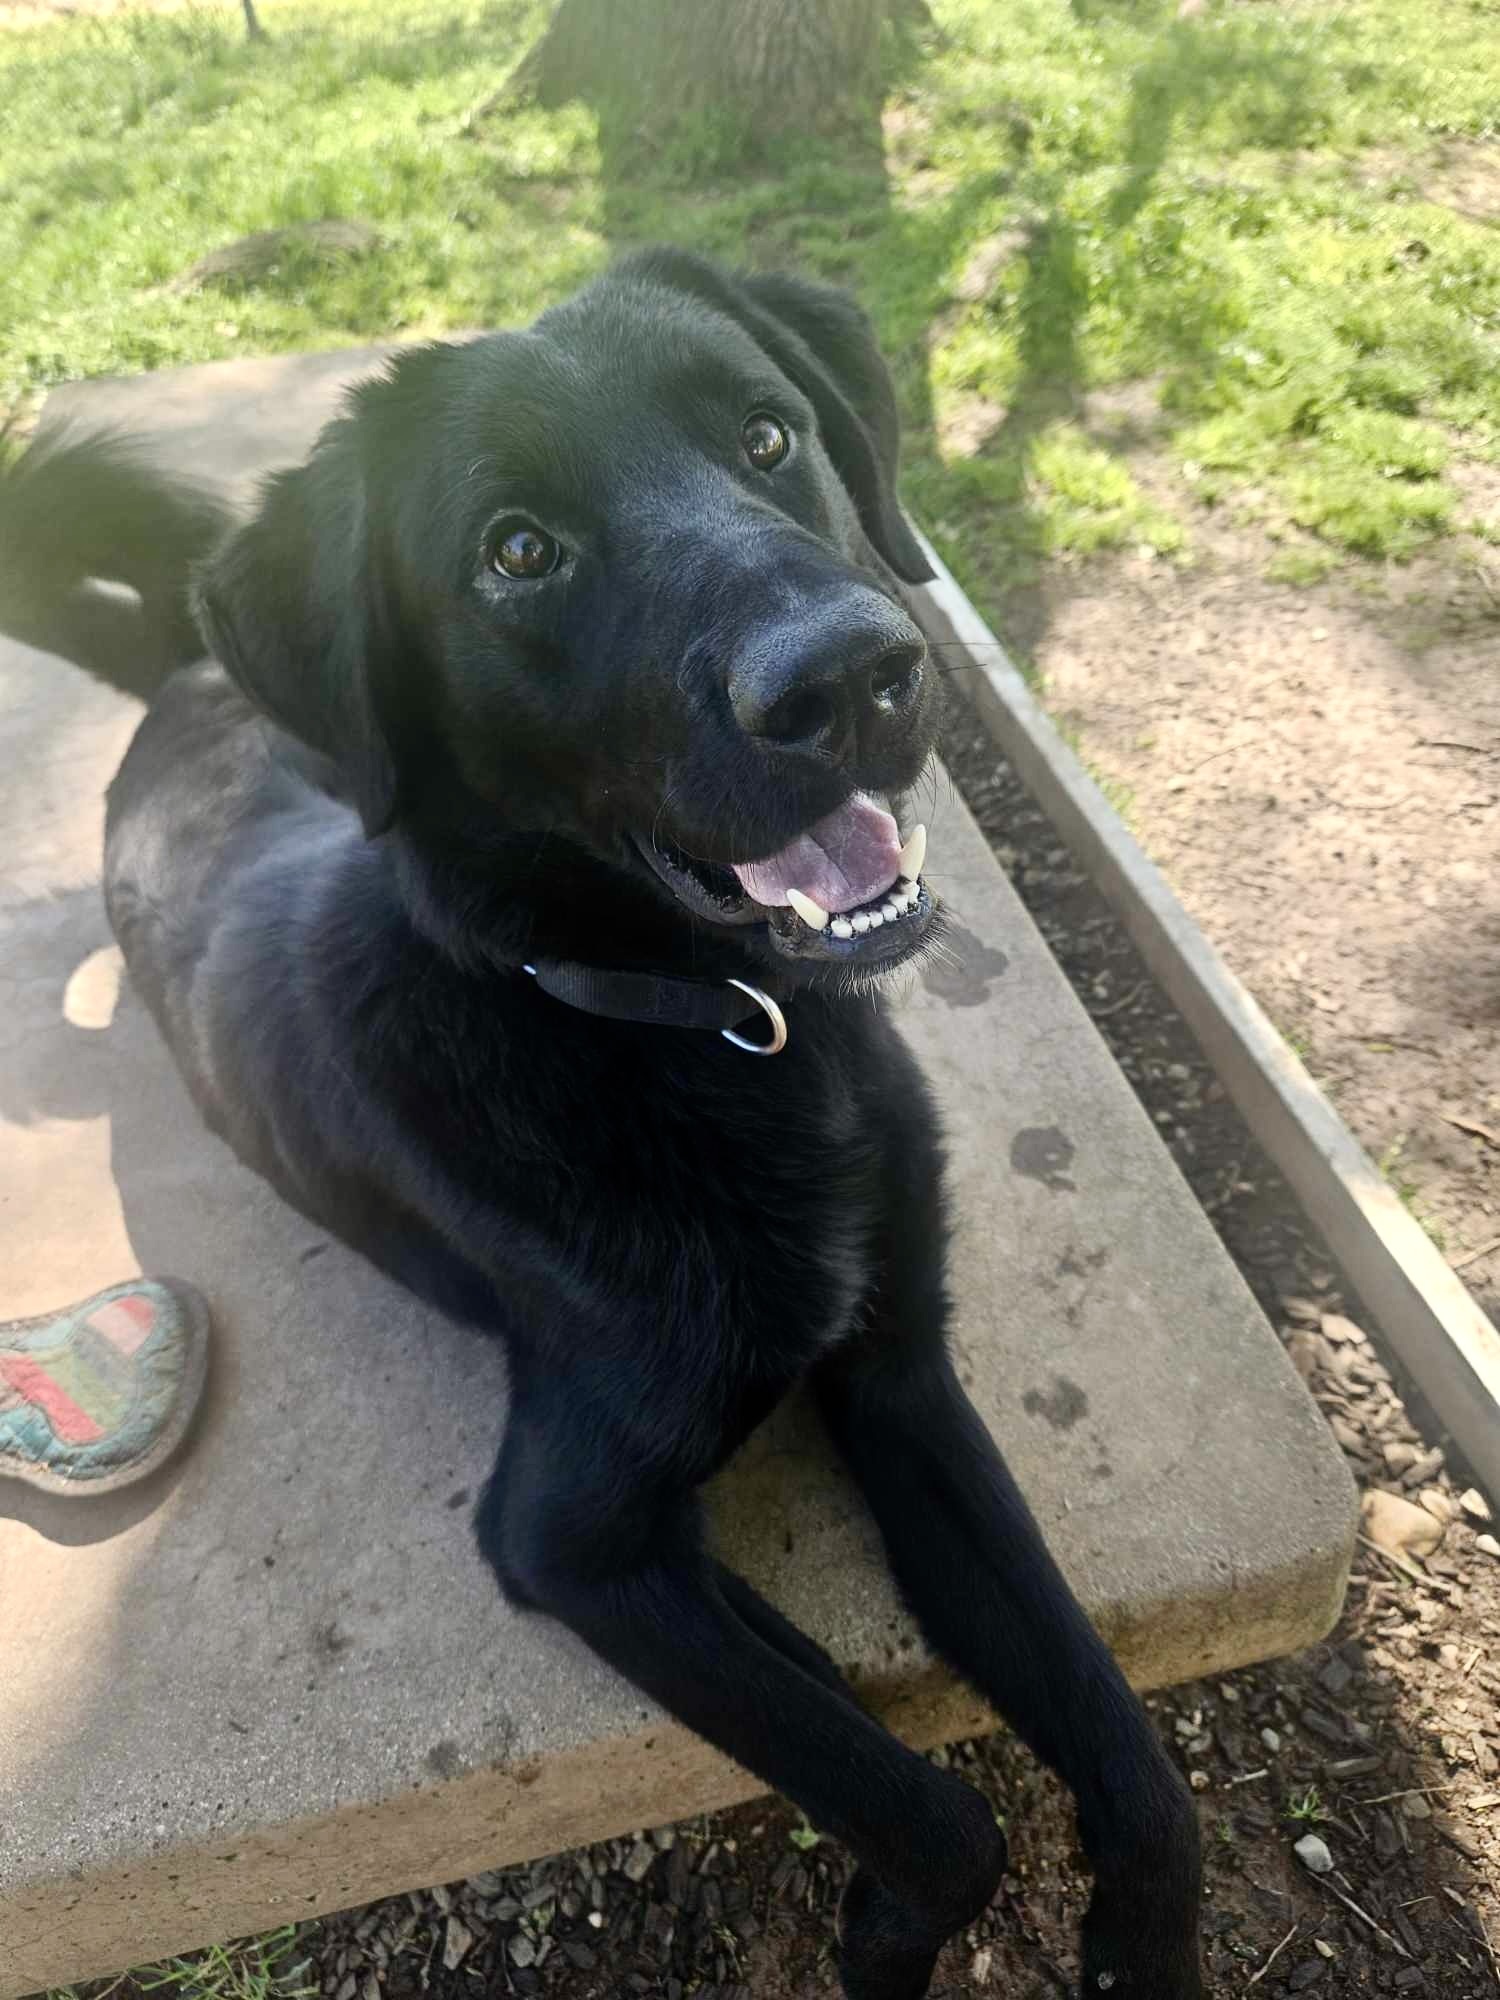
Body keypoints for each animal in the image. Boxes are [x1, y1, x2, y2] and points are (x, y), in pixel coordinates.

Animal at [0, 254, 1200, 2000]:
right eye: (517, 551)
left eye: (768, 433)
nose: (852, 675)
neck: (708, 1034)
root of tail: (178, 672)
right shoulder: (571, 1536)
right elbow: (919, 1798)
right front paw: (889, 1928)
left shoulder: (905, 1382)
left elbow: (1126, 1744)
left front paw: (1138, 1942)